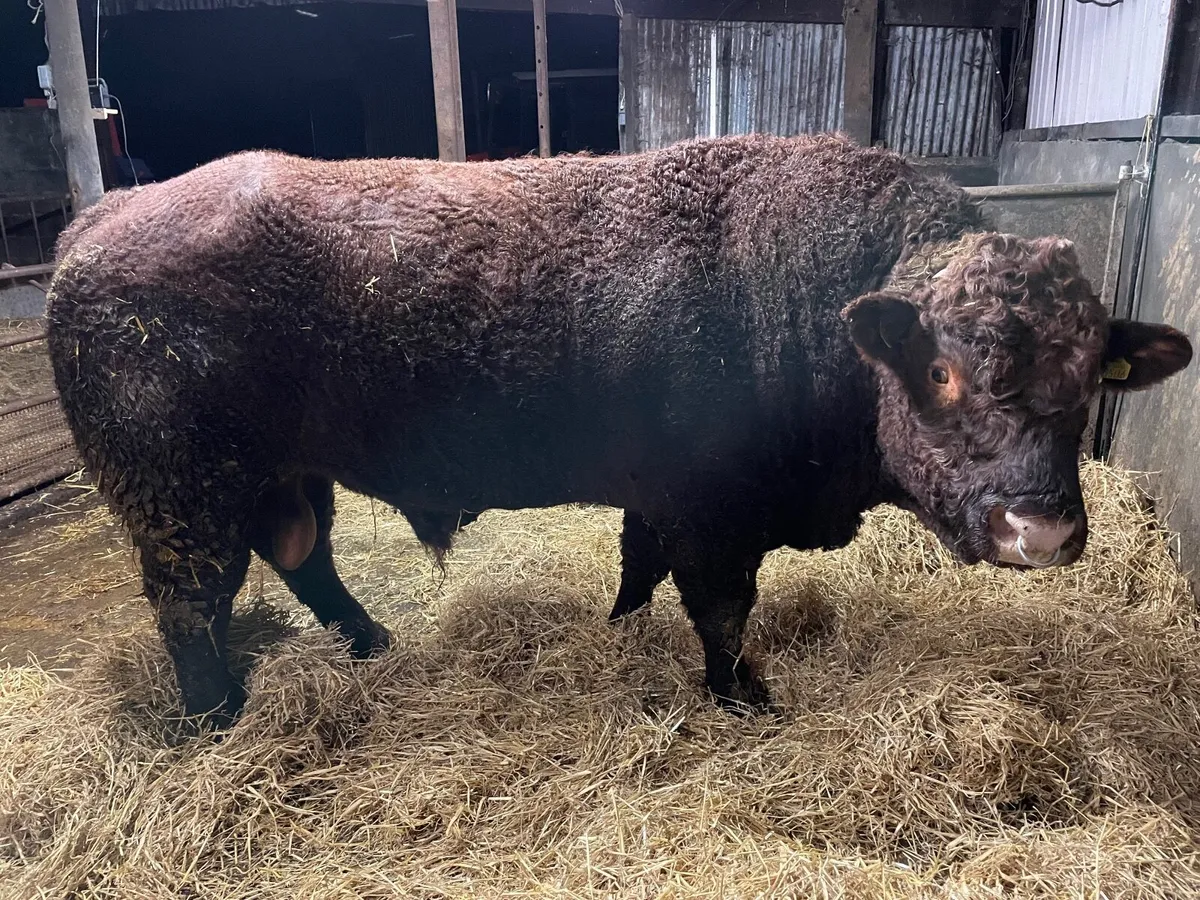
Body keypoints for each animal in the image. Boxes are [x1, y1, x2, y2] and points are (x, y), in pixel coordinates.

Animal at [46, 134, 1192, 727]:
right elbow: (722, 614)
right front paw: (740, 697)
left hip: (282, 476)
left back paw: (370, 644)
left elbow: (640, 570)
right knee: (193, 606)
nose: (1042, 532)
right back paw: (218, 717)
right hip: (182, 498)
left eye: (1087, 378)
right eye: (944, 371)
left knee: (304, 560)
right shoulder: (715, 514)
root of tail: (98, 224)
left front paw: (622, 630)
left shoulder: (661, 501)